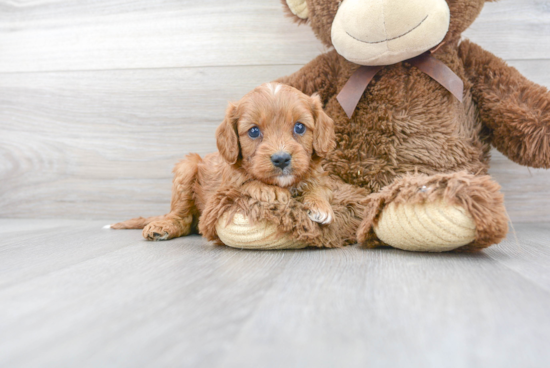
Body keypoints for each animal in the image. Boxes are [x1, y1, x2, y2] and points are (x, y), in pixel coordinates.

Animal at [111, 82, 336, 242]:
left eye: (299, 127)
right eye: (254, 131)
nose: (281, 159)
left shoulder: (319, 176)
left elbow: (319, 186)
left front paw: (320, 205)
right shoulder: (227, 185)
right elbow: (247, 182)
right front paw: (271, 191)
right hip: (187, 167)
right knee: (182, 217)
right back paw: (164, 226)